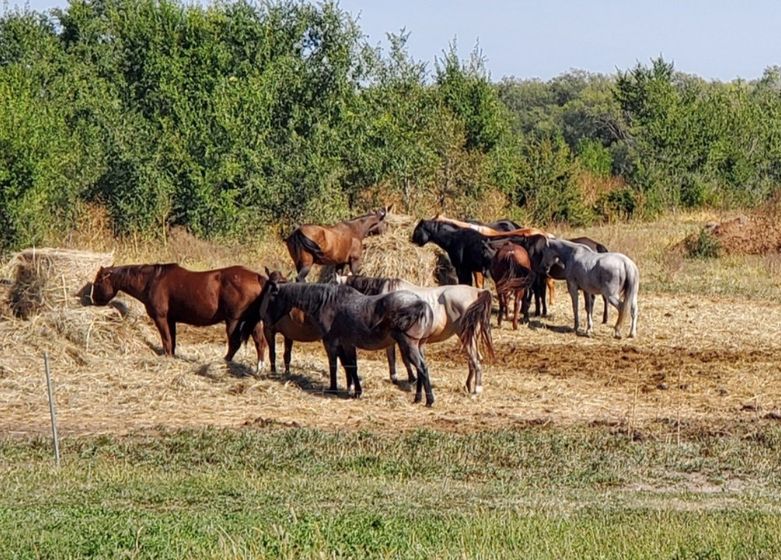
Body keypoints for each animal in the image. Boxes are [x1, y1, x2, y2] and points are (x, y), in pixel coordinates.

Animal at [89, 264, 280, 371]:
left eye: (98, 283)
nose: (93, 300)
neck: (152, 280)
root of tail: (257, 277)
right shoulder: (171, 320)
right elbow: (172, 340)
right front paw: (172, 357)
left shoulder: (161, 318)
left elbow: (166, 340)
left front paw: (167, 358)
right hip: (252, 322)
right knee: (260, 343)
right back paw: (259, 368)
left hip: (234, 320)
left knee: (235, 343)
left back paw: (224, 362)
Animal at [239, 282, 439, 405]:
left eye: (271, 298)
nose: (265, 320)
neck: (329, 303)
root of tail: (420, 303)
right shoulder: (347, 344)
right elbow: (351, 367)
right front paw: (356, 391)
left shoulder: (331, 343)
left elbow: (335, 366)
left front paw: (334, 389)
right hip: (418, 346)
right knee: (421, 370)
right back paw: (418, 398)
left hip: (409, 345)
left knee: (422, 368)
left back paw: (428, 400)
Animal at [337, 275, 495, 394]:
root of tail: (478, 292)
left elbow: (396, 358)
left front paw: (403, 378)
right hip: (471, 336)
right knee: (474, 360)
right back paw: (468, 385)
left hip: (466, 336)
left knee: (475, 360)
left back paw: (477, 389)